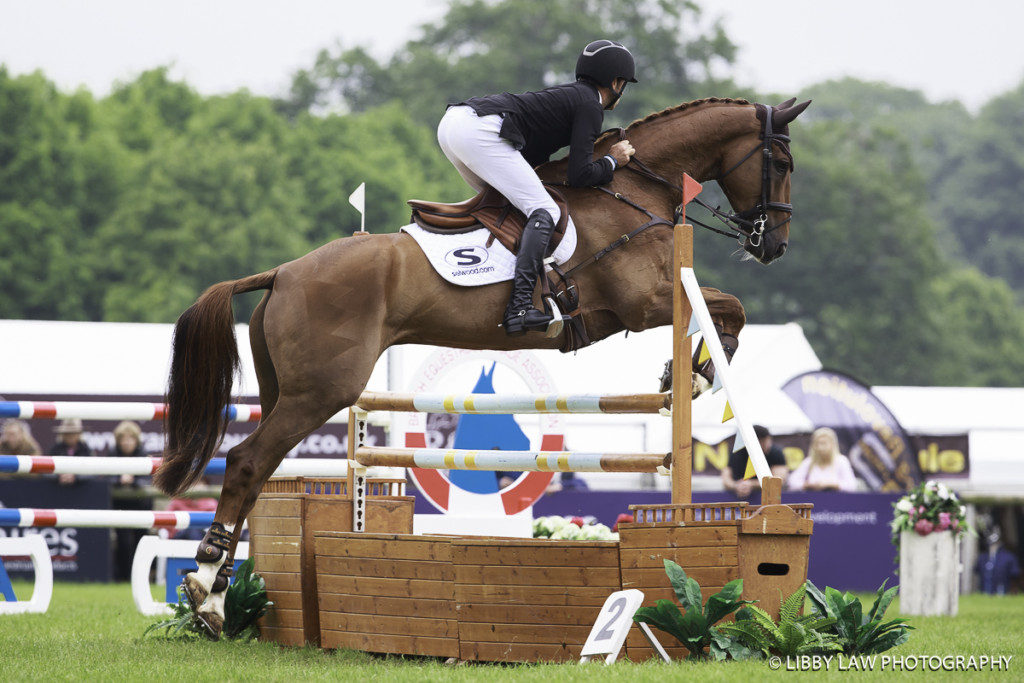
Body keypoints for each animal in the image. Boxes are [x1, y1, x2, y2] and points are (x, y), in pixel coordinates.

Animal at [153, 96, 806, 634]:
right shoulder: (643, 301)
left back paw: (217, 594)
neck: (632, 192)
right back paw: (206, 590)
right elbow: (730, 306)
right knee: (245, 462)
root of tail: (283, 273)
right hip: (321, 392)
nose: (773, 245)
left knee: (259, 470)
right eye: (781, 159)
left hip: (286, 390)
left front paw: (685, 372)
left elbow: (724, 308)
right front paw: (695, 373)